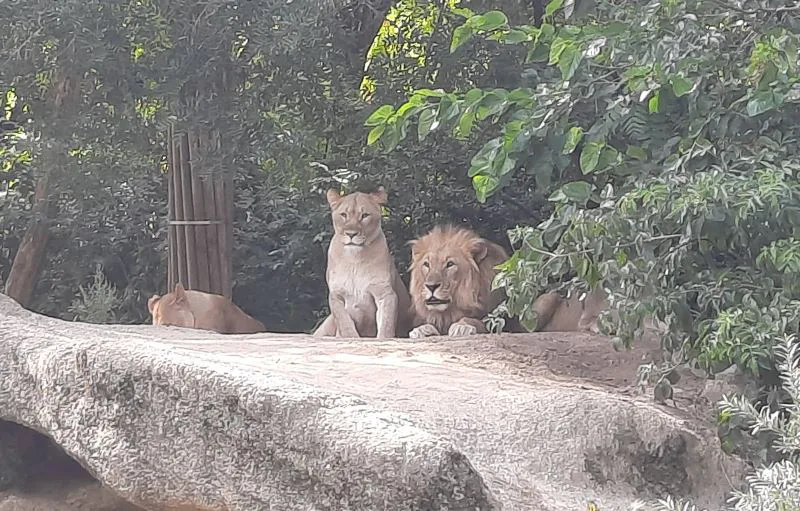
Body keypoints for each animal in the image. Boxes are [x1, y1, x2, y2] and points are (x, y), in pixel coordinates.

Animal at [312, 186, 412, 338]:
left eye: (365, 215)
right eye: (344, 215)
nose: (351, 234)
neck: (355, 259)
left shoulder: (385, 293)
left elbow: (386, 324)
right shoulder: (336, 295)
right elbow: (344, 322)